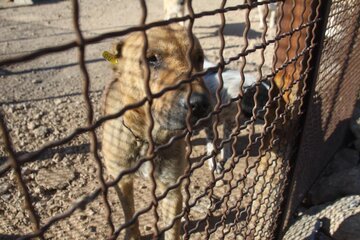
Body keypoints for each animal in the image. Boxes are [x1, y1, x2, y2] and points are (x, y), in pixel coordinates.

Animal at [102, 24, 211, 240]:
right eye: (152, 58)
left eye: (198, 58)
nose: (201, 104)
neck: (146, 139)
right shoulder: (121, 179)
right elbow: (130, 217)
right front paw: (133, 235)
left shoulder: (172, 187)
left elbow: (172, 228)